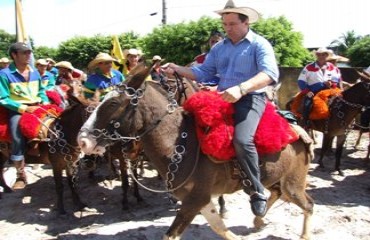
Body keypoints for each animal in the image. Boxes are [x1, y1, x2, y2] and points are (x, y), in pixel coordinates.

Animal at [78, 66, 316, 240]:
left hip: (293, 183)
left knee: (308, 204)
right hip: (275, 180)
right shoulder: (200, 199)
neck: (181, 142)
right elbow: (219, 227)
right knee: (278, 194)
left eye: (113, 103)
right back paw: (259, 220)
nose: (82, 140)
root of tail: (297, 131)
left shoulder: (194, 200)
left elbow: (171, 235)